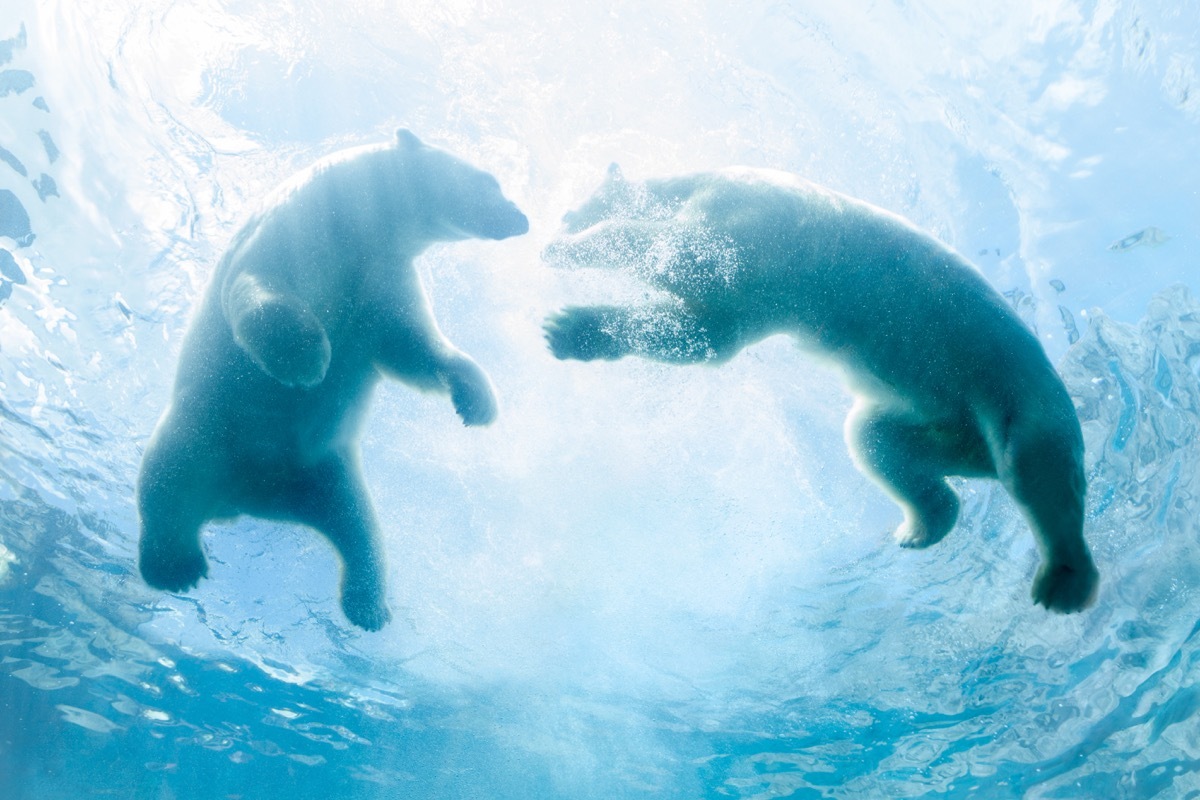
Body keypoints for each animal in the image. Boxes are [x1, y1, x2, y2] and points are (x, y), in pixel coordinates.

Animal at [136, 130, 525, 633]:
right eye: (490, 181)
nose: (521, 218)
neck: (358, 223)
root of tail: (245, 501)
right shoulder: (296, 234)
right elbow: (264, 292)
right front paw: (305, 362)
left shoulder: (380, 276)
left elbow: (409, 346)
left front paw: (475, 401)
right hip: (208, 427)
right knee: (168, 474)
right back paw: (175, 566)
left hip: (325, 470)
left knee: (359, 528)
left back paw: (368, 607)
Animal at [544, 164, 1099, 614]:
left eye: (573, 204)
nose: (560, 222)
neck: (698, 180)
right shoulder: (750, 297)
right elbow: (703, 334)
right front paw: (566, 330)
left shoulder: (744, 219)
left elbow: (674, 254)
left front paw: (568, 254)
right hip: (938, 422)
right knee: (878, 442)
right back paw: (918, 529)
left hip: (1019, 395)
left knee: (1037, 474)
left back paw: (1064, 582)